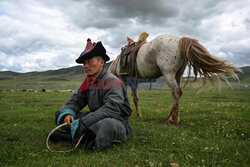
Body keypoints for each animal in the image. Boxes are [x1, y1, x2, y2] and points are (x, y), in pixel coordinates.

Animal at [108, 33, 242, 124]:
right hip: (177, 75)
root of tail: (180, 40)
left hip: (168, 73)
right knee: (178, 92)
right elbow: (135, 98)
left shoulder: (124, 79)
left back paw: (172, 119)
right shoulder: (134, 81)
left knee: (176, 91)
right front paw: (138, 114)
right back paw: (172, 116)